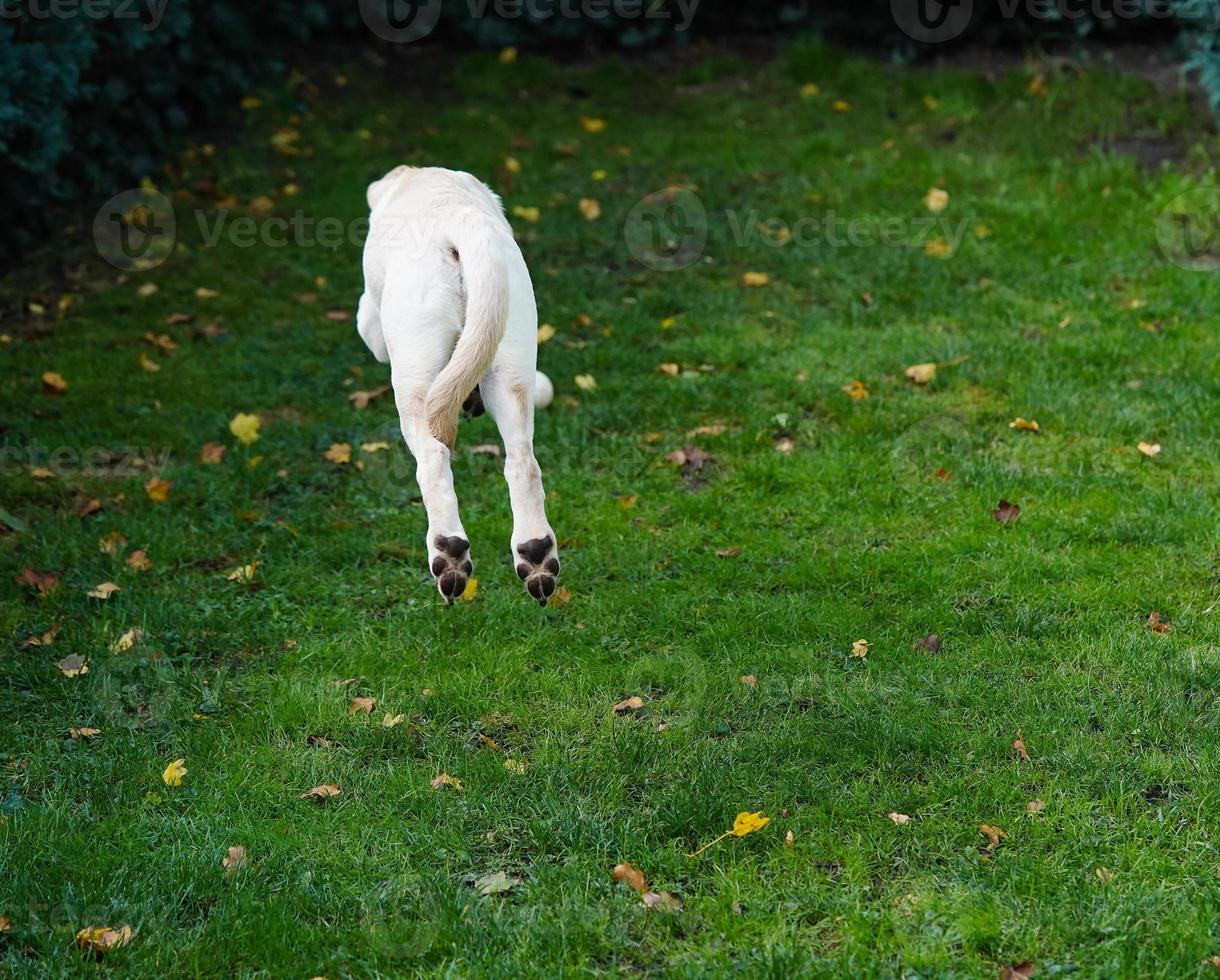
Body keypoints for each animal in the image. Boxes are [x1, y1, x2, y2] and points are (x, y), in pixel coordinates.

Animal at [356, 167, 558, 605]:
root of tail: (458, 222)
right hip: (511, 358)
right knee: (522, 460)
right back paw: (536, 557)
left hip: (414, 380)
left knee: (433, 459)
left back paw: (448, 555)